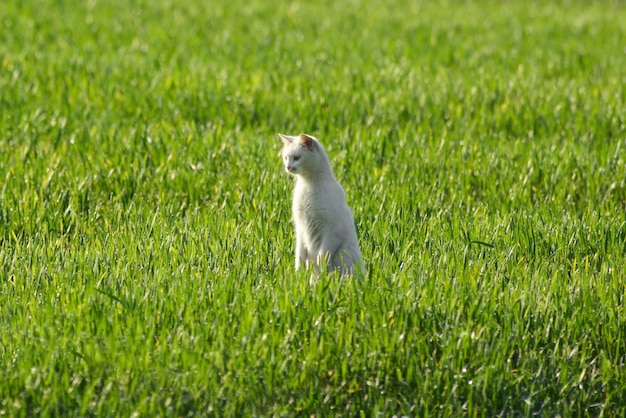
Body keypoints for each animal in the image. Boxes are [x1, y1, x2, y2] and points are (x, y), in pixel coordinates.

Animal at [276, 134, 360, 276]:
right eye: (286, 157)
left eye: (297, 158)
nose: (288, 167)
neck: (307, 183)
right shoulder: (300, 228)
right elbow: (299, 254)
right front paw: (299, 272)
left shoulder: (335, 230)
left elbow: (322, 255)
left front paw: (323, 270)